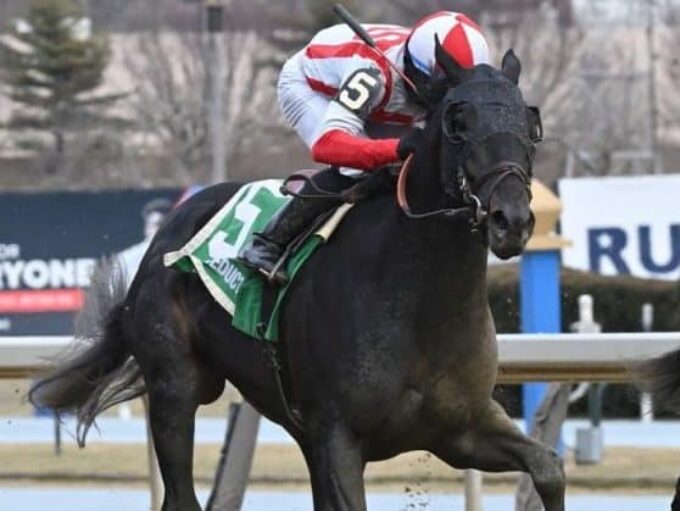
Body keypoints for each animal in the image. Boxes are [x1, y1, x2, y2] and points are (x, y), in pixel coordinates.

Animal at [30, 44, 564, 511]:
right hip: (176, 387)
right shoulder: (339, 437)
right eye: (458, 121)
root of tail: (164, 236)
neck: (421, 302)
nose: (512, 220)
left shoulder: (460, 430)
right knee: (180, 494)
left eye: (529, 122)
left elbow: (549, 468)